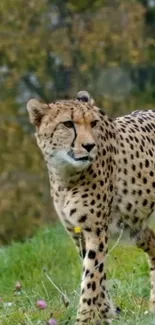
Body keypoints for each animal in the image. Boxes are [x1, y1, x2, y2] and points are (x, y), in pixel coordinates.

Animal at [27, 91, 155, 324]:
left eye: (93, 123)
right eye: (68, 124)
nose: (89, 146)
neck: (65, 175)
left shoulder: (95, 230)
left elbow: (91, 277)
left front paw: (85, 317)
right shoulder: (77, 233)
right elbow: (96, 276)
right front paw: (105, 312)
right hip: (134, 225)